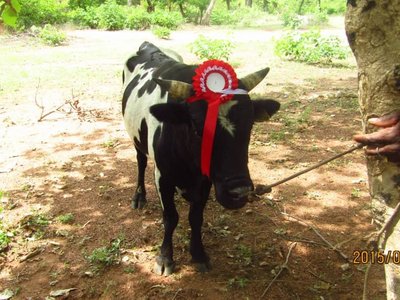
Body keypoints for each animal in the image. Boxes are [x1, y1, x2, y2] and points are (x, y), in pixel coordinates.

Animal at [120, 42, 280, 276]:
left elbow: (195, 217)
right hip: (136, 138)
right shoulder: (163, 176)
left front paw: (198, 254)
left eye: (250, 124)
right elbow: (170, 217)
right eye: (198, 129)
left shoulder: (205, 180)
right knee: (140, 161)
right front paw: (165, 257)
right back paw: (139, 196)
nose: (240, 192)